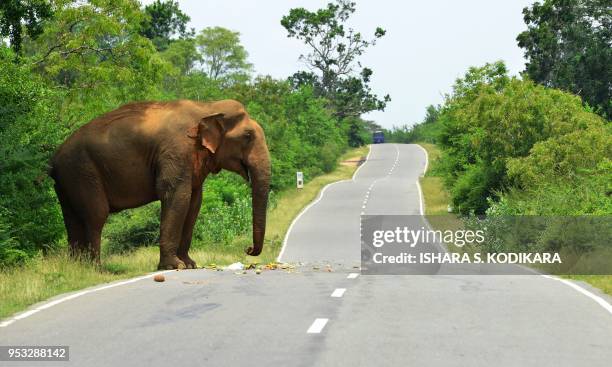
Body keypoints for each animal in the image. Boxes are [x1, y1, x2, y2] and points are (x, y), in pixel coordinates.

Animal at [51, 99, 272, 268]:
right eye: (248, 136)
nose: (248, 249)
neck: (207, 107)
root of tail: (54, 159)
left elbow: (194, 203)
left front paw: (190, 265)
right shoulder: (175, 152)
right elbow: (177, 197)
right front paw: (175, 267)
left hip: (68, 179)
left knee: (73, 219)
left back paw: (77, 268)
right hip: (82, 171)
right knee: (96, 215)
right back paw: (96, 269)